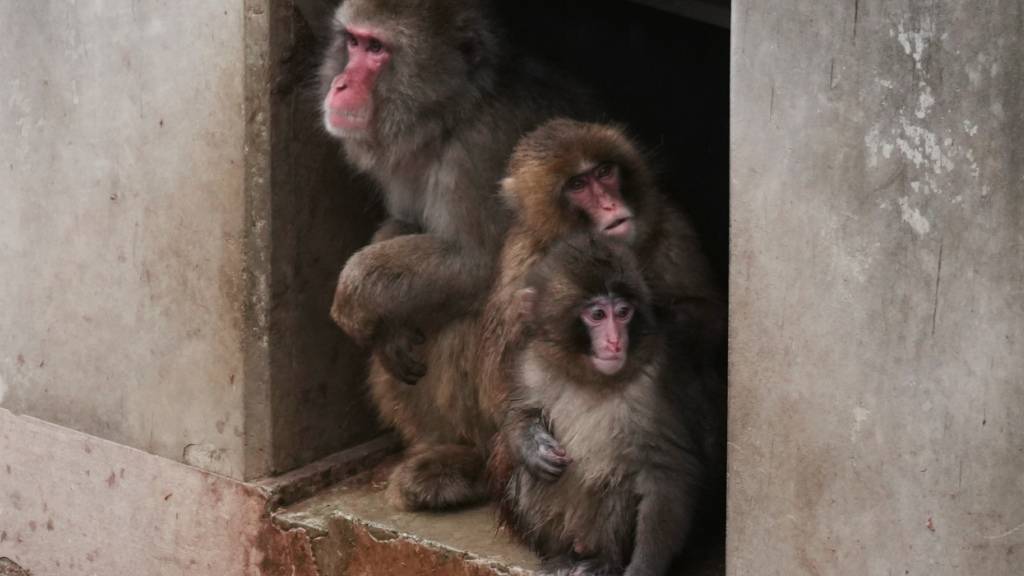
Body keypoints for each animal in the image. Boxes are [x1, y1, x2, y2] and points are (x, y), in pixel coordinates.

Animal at [319, 0, 600, 510]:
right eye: (352, 41)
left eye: (376, 49)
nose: (341, 83)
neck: (453, 115)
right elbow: (406, 224)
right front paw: (388, 327)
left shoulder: (484, 151)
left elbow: (481, 265)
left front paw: (355, 290)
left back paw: (472, 466)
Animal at [494, 232, 719, 576]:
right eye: (598, 315)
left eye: (623, 312)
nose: (614, 342)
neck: (590, 377)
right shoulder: (532, 363)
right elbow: (518, 413)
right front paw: (532, 446)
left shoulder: (653, 386)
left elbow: (667, 472)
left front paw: (643, 568)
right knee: (531, 477)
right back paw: (562, 557)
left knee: (619, 481)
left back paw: (603, 561)